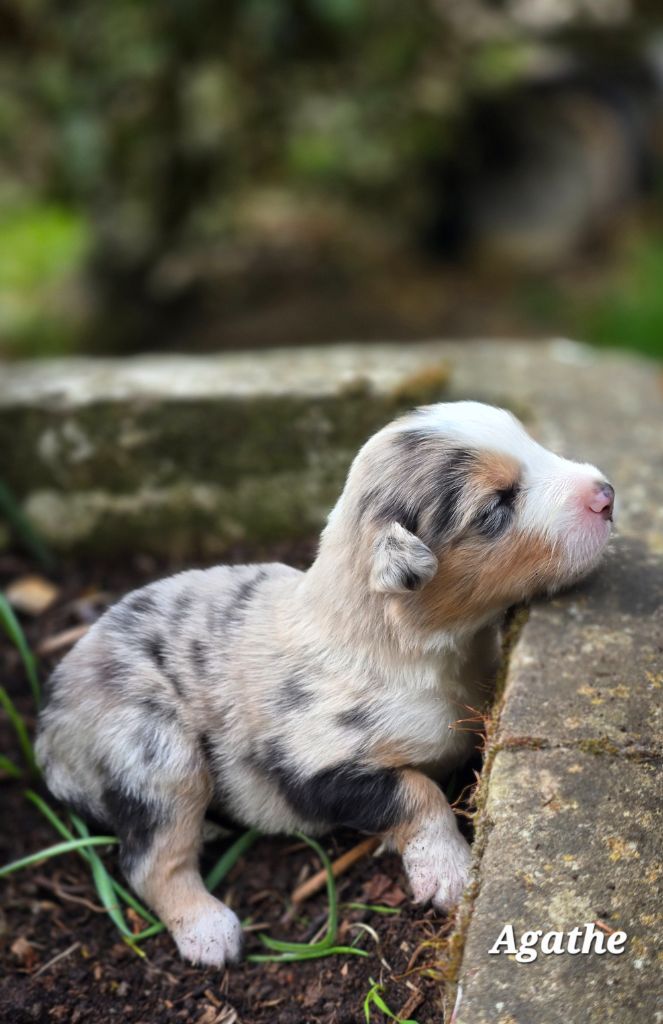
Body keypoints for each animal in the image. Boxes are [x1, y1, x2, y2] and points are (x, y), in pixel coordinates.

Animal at [35, 401, 614, 967]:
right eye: (497, 506)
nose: (607, 494)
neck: (414, 647)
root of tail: (53, 716)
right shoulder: (317, 765)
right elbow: (418, 792)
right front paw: (448, 873)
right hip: (156, 751)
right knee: (151, 861)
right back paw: (209, 931)